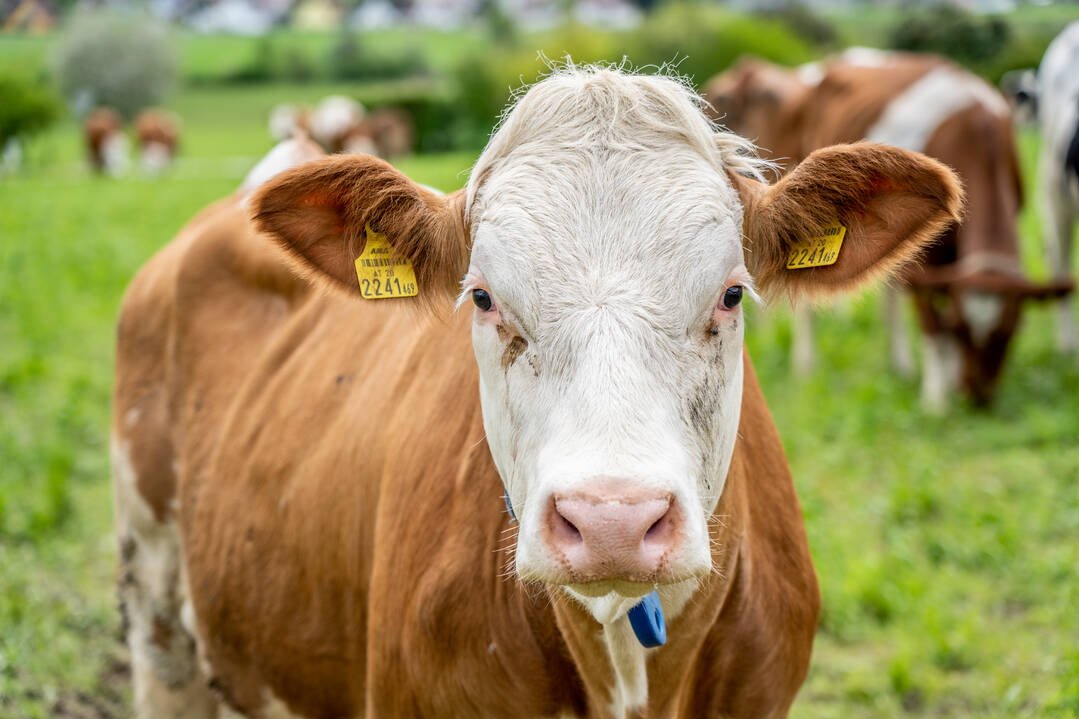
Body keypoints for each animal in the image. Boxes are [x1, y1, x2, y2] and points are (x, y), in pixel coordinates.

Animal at [704, 50, 1072, 412]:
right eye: (962, 328)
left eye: (1012, 330)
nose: (978, 396)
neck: (977, 134)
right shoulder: (927, 264)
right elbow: (931, 322)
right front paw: (936, 397)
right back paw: (806, 363)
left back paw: (900, 363)